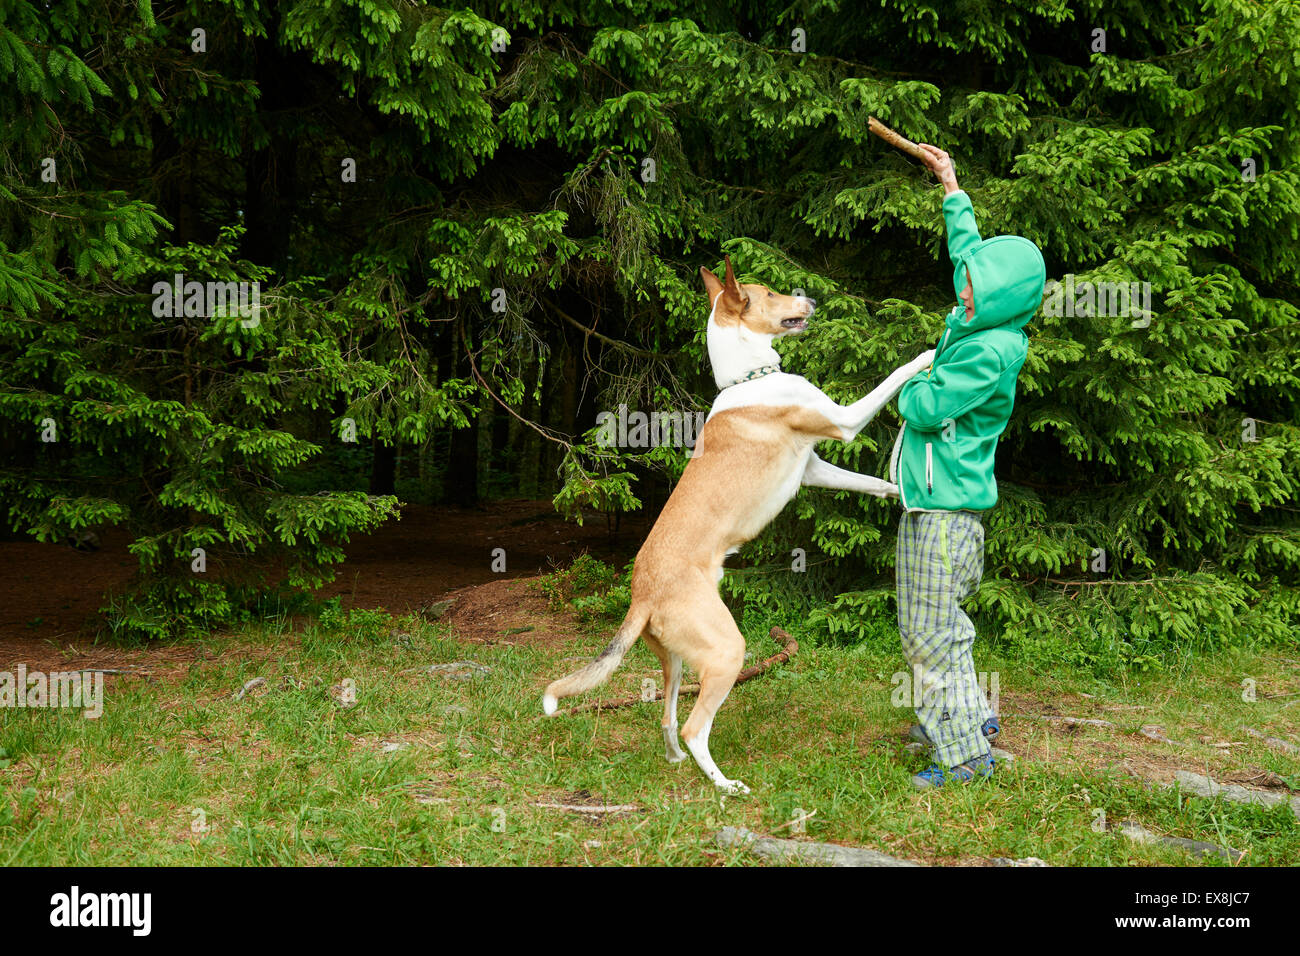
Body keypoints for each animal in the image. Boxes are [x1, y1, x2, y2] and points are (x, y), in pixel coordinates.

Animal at [540, 254, 935, 790]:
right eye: (769, 294)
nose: (813, 299)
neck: (751, 376)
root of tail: (641, 592)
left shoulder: (811, 468)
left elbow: (870, 482)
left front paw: (903, 493)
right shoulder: (843, 421)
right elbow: (891, 377)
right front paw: (927, 353)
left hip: (676, 660)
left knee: (667, 719)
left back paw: (677, 763)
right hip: (728, 651)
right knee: (692, 727)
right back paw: (725, 785)